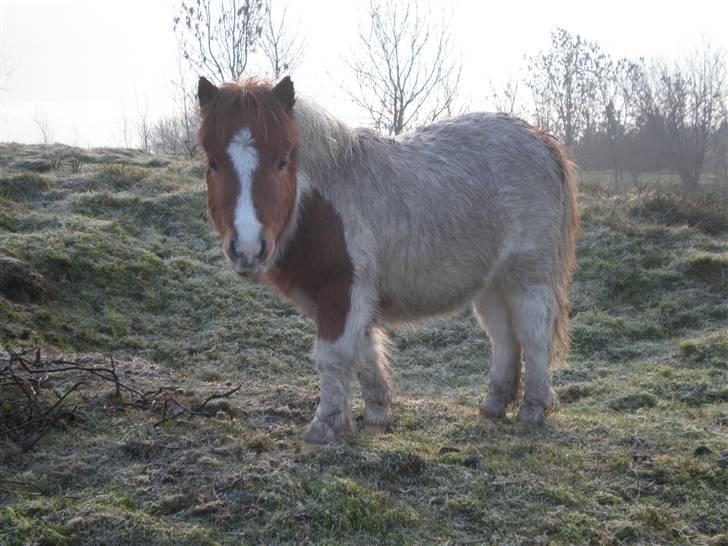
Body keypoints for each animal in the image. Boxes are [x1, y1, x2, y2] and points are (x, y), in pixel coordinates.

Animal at [196, 75, 576, 442]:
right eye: (213, 162)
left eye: (282, 161)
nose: (248, 247)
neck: (321, 206)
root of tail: (540, 139)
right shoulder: (350, 298)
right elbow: (365, 351)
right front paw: (377, 414)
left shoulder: (344, 290)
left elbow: (334, 356)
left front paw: (325, 425)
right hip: (492, 284)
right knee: (503, 336)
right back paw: (494, 405)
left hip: (527, 275)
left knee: (533, 334)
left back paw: (533, 408)